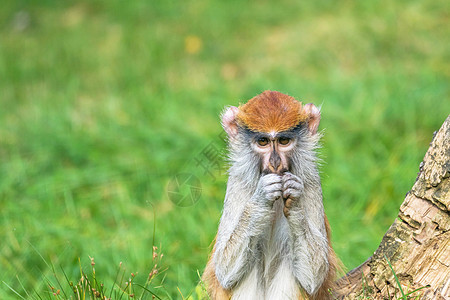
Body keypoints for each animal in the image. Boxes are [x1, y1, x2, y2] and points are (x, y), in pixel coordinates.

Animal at [201, 90, 338, 298]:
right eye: (263, 141)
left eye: (284, 141)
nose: (275, 162)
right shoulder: (237, 181)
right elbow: (224, 271)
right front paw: (262, 198)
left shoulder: (311, 180)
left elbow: (315, 277)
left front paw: (294, 201)